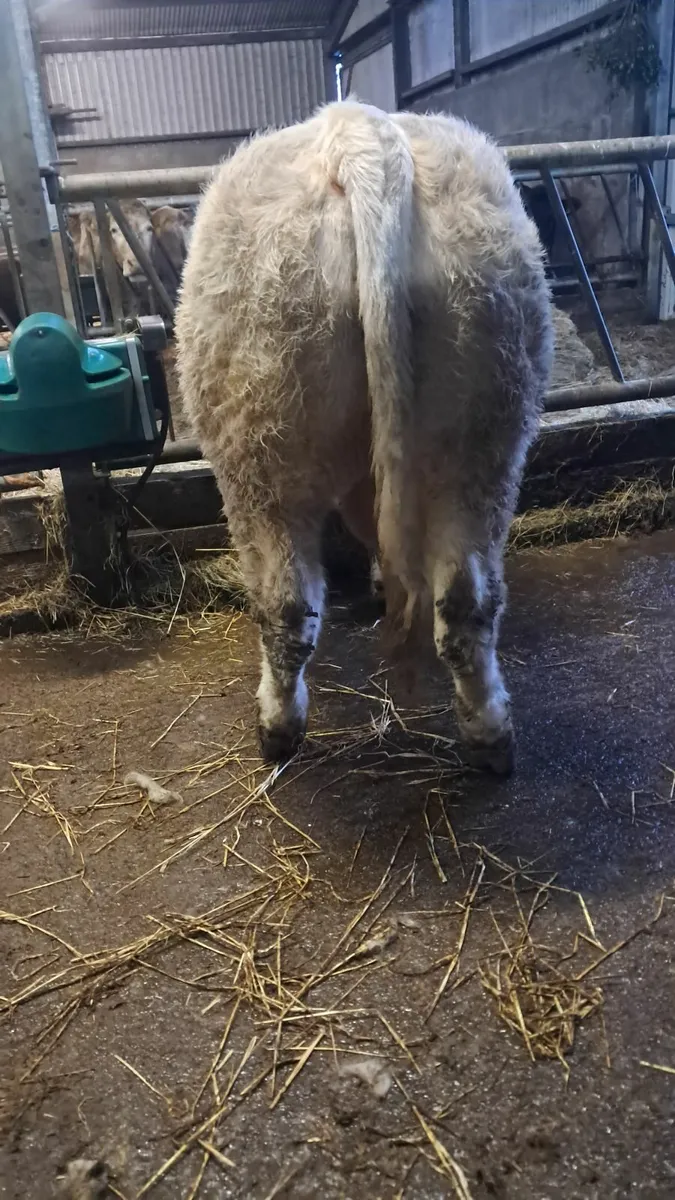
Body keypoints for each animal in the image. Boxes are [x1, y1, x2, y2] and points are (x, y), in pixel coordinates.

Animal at [174, 100, 554, 774]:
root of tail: (358, 131)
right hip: (483, 430)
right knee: (466, 597)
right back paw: (491, 735)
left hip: (258, 452)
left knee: (286, 604)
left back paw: (277, 730)